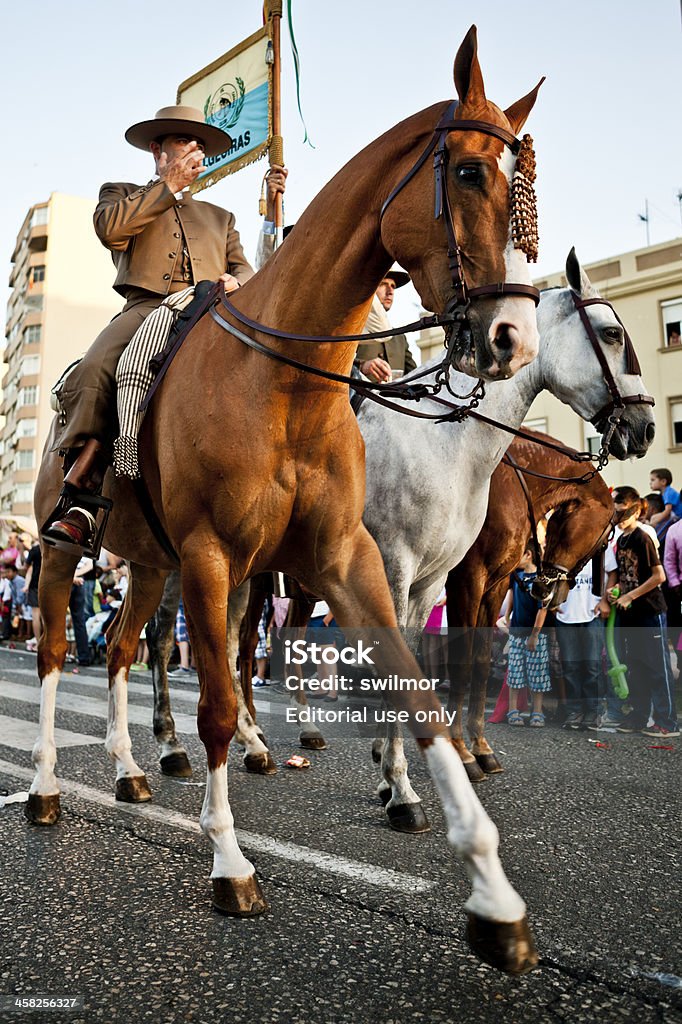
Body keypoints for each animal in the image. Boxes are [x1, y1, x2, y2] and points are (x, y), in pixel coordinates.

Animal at [30, 29, 540, 974]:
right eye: (468, 173)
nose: (509, 339)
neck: (284, 383)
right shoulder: (213, 558)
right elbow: (220, 706)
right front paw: (230, 860)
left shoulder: (347, 560)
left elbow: (420, 698)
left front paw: (491, 893)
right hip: (60, 549)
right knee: (52, 654)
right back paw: (46, 782)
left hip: (147, 565)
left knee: (115, 652)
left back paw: (126, 768)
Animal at [444, 434, 606, 782]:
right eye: (603, 541)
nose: (550, 589)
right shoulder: (466, 579)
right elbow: (461, 663)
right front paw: (460, 751)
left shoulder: (495, 585)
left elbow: (480, 662)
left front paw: (480, 748)